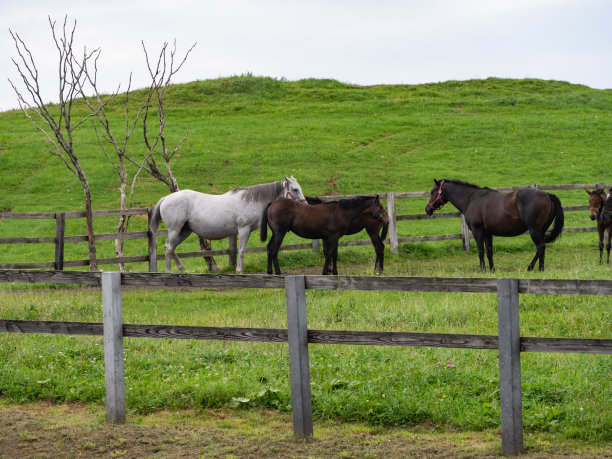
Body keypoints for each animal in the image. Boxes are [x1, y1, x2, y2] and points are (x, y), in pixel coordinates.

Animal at [149, 177, 306, 274]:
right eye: (295, 189)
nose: (304, 204)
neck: (251, 201)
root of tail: (165, 198)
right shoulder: (244, 230)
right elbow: (241, 251)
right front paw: (239, 271)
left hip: (184, 231)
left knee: (172, 248)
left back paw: (181, 269)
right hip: (175, 229)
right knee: (169, 248)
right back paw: (169, 272)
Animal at [426, 180, 564, 274]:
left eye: (432, 191)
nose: (427, 209)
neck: (471, 199)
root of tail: (547, 195)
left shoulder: (477, 231)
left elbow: (480, 251)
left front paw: (483, 270)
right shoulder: (488, 233)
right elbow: (489, 251)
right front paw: (492, 270)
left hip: (534, 230)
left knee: (540, 247)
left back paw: (533, 268)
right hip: (541, 231)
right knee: (541, 248)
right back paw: (538, 268)